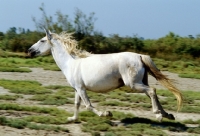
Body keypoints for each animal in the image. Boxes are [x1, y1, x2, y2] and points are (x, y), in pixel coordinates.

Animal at [28, 29, 183, 121]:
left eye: (42, 40)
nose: (29, 51)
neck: (71, 63)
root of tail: (139, 56)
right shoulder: (77, 88)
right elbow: (77, 104)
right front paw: (72, 119)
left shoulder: (81, 89)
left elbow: (88, 105)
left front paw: (106, 114)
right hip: (140, 82)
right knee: (152, 93)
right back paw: (167, 115)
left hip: (133, 84)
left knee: (152, 91)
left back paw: (158, 114)